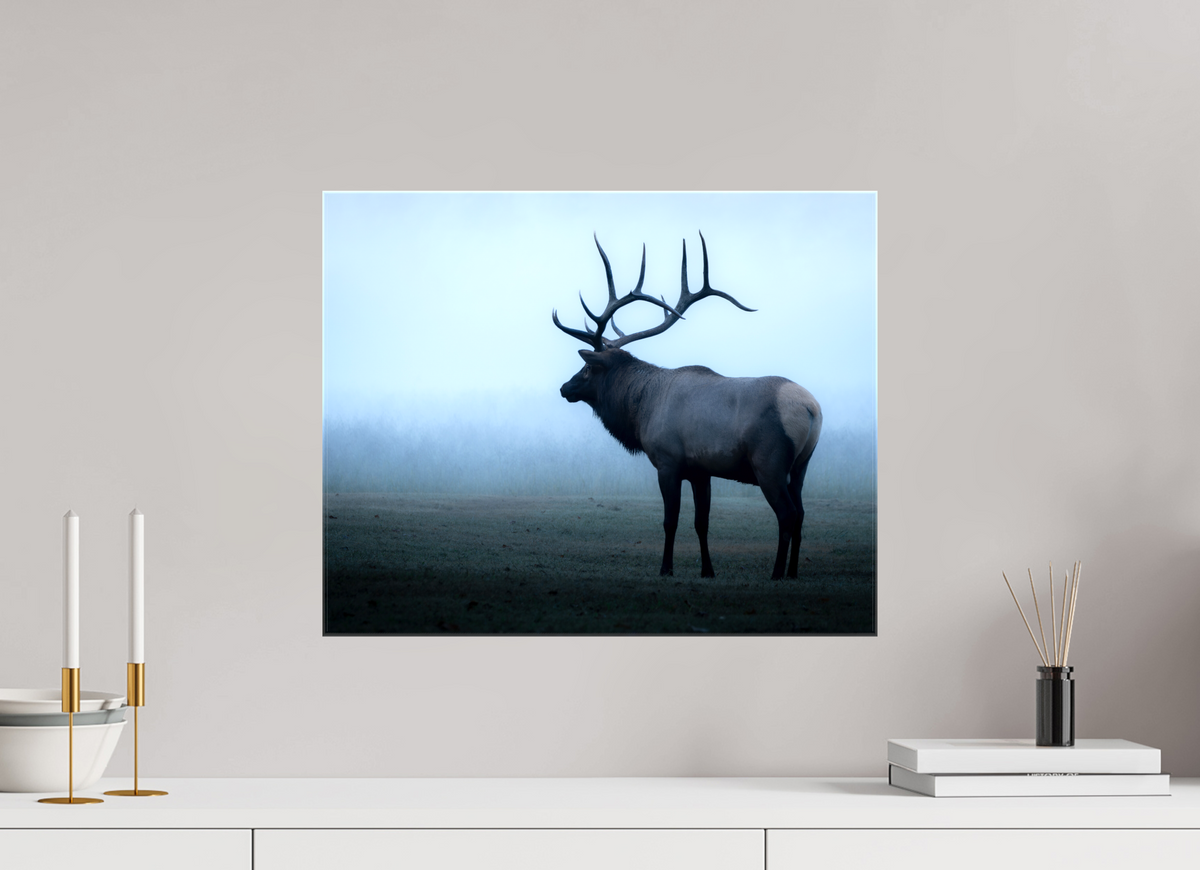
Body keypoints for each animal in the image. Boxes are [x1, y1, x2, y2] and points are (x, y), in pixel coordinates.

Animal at [553, 233, 822, 580]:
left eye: (587, 369)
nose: (564, 388)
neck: (641, 409)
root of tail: (812, 409)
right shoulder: (701, 471)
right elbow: (701, 522)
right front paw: (707, 570)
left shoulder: (668, 462)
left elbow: (671, 521)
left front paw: (666, 568)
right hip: (801, 466)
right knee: (801, 513)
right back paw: (792, 572)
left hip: (770, 464)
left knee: (787, 514)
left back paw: (776, 573)